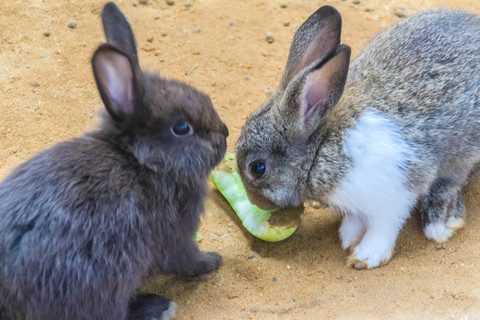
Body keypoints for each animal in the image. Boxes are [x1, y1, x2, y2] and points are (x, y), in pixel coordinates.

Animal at [0, 1, 228, 318]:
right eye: (182, 128)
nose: (226, 133)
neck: (145, 162)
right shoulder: (177, 235)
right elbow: (186, 259)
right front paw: (212, 261)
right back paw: (157, 305)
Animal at [234, 5, 480, 270]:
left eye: (258, 169)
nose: (256, 203)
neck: (319, 152)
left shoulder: (397, 193)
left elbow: (384, 226)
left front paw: (366, 256)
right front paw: (349, 236)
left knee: (453, 179)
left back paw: (440, 221)